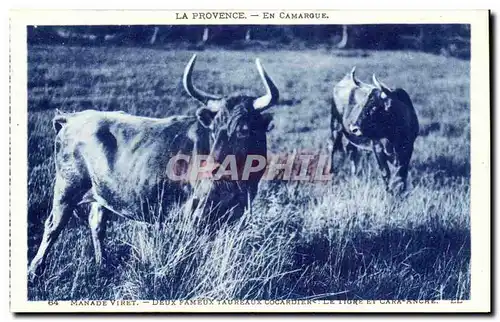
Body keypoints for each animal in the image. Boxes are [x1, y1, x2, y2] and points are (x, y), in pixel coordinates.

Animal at [28, 54, 282, 278]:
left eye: (244, 129)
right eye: (213, 129)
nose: (213, 168)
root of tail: (74, 118)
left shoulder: (235, 214)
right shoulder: (195, 210)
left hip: (101, 191)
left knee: (96, 224)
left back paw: (102, 265)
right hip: (67, 186)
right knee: (53, 225)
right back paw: (35, 270)